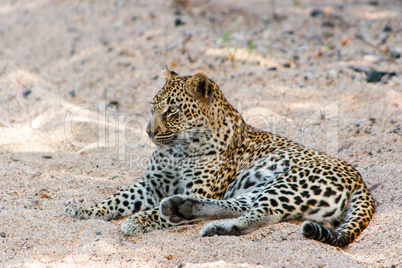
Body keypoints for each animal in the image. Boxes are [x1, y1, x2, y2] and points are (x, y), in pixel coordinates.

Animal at [64, 66, 376, 247]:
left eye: (172, 111)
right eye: (153, 107)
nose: (149, 131)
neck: (179, 150)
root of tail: (359, 180)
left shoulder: (198, 187)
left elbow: (151, 213)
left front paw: (138, 221)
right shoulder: (152, 186)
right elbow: (116, 197)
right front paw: (84, 209)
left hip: (290, 183)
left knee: (264, 214)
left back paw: (198, 219)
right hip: (258, 189)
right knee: (238, 207)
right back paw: (184, 208)